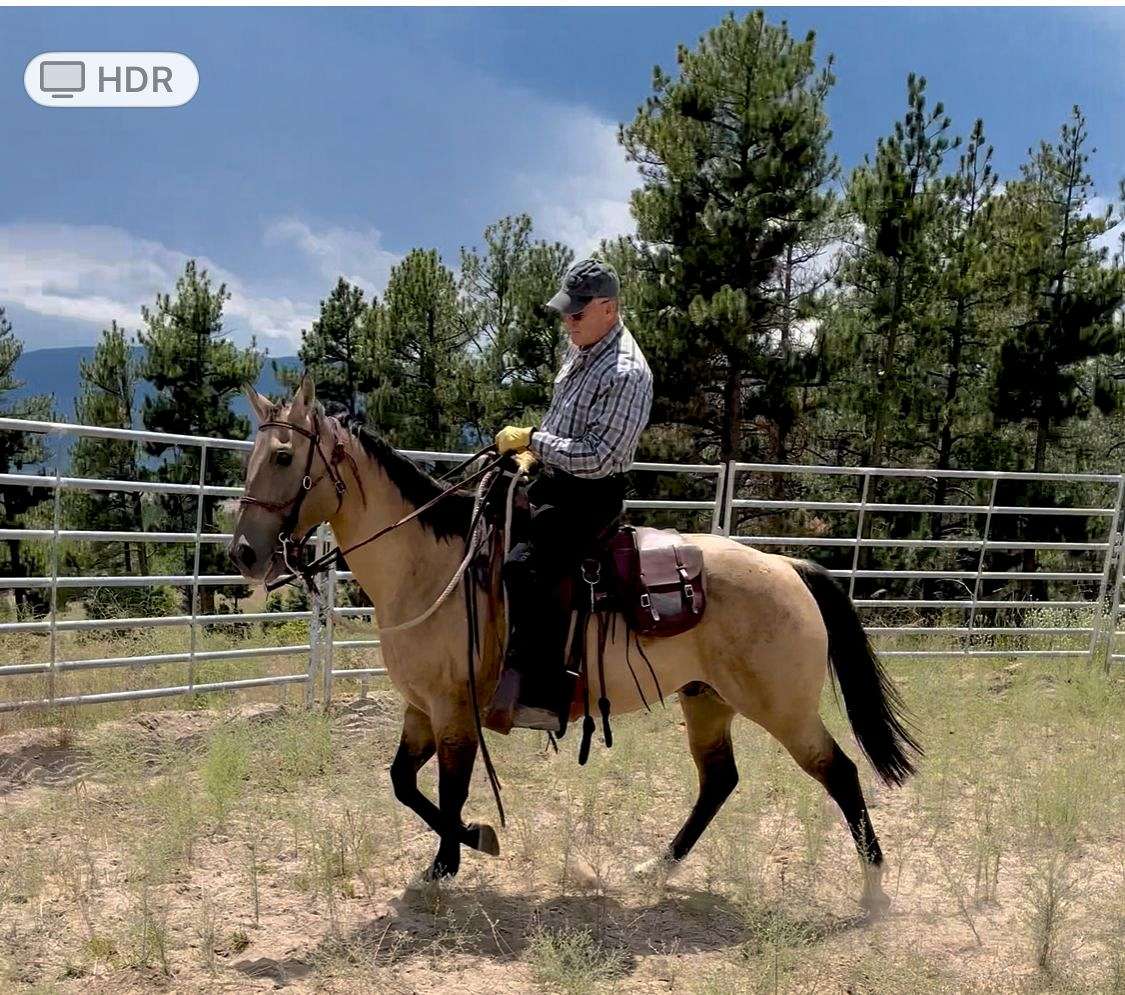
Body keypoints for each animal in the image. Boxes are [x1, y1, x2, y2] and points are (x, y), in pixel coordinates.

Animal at [228, 377, 921, 912]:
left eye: (285, 457)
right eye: (250, 457)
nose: (244, 555)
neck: (431, 565)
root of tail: (787, 567)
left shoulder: (454, 712)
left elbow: (449, 792)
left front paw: (458, 855)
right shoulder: (421, 708)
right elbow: (403, 782)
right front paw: (461, 849)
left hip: (784, 708)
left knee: (840, 773)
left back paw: (873, 889)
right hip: (706, 699)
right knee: (719, 781)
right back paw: (658, 866)